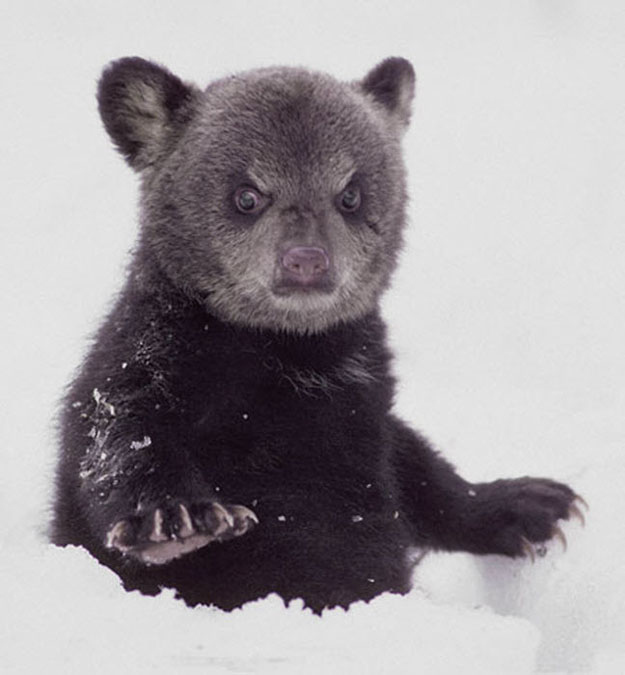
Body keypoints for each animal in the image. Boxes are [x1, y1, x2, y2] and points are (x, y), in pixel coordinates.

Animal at [51, 58, 584, 612]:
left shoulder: (360, 408)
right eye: (247, 195)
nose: (305, 260)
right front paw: (174, 519)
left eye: (350, 194)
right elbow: (117, 435)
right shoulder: (147, 360)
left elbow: (408, 468)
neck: (282, 360)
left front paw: (526, 504)